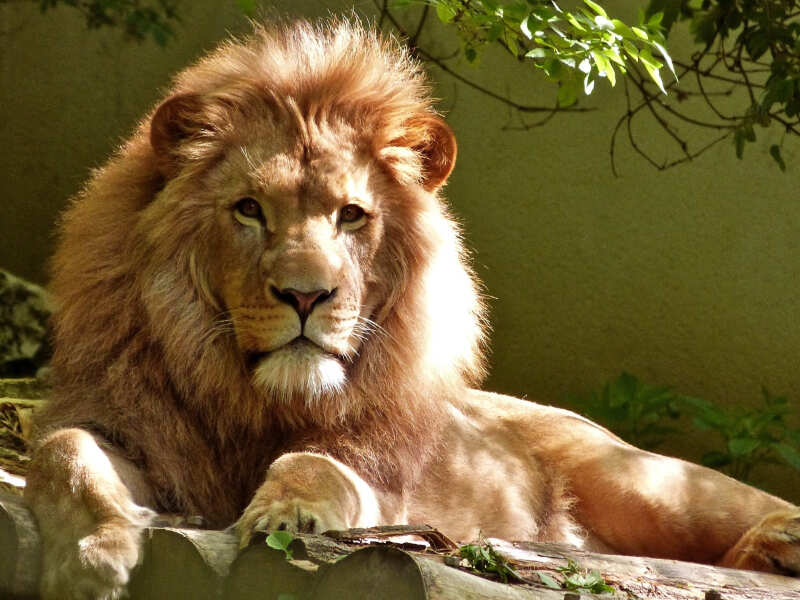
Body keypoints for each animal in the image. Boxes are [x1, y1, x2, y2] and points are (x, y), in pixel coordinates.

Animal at [24, 18, 800, 600]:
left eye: (351, 215)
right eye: (248, 210)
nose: (306, 295)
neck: (255, 400)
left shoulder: (379, 481)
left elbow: (316, 465)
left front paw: (291, 514)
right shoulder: (132, 430)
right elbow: (64, 452)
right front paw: (94, 554)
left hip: (643, 482)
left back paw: (779, 542)